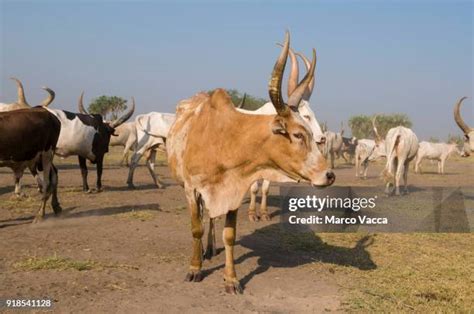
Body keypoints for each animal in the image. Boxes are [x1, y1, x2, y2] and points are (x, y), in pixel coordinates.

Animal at [241, 48, 326, 221]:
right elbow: (254, 188)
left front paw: (264, 213)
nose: (322, 138)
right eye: (306, 116)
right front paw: (252, 214)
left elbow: (265, 188)